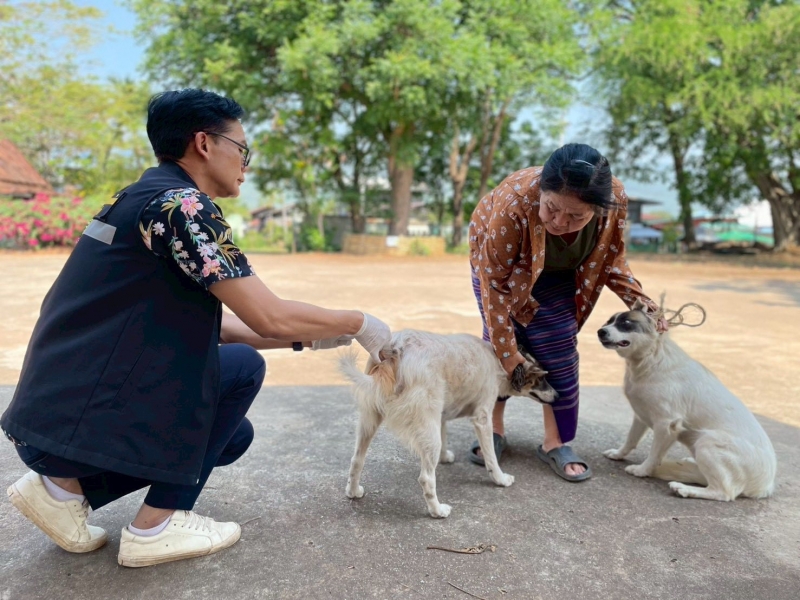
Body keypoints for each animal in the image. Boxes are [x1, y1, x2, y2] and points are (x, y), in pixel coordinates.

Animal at [338, 329, 558, 518]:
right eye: (541, 379)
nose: (557, 396)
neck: (498, 361)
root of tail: (396, 350)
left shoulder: (441, 415)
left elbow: (445, 435)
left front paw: (444, 458)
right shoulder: (482, 418)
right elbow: (491, 459)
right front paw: (500, 479)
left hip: (370, 420)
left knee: (356, 459)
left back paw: (353, 491)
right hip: (425, 424)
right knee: (426, 478)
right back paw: (437, 511)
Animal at [597, 299, 777, 501]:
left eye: (626, 323)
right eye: (609, 321)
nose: (600, 331)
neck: (652, 358)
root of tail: (765, 486)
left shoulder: (667, 425)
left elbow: (653, 455)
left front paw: (642, 470)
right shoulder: (640, 416)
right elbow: (630, 440)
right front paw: (618, 454)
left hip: (707, 442)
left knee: (723, 492)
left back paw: (684, 489)